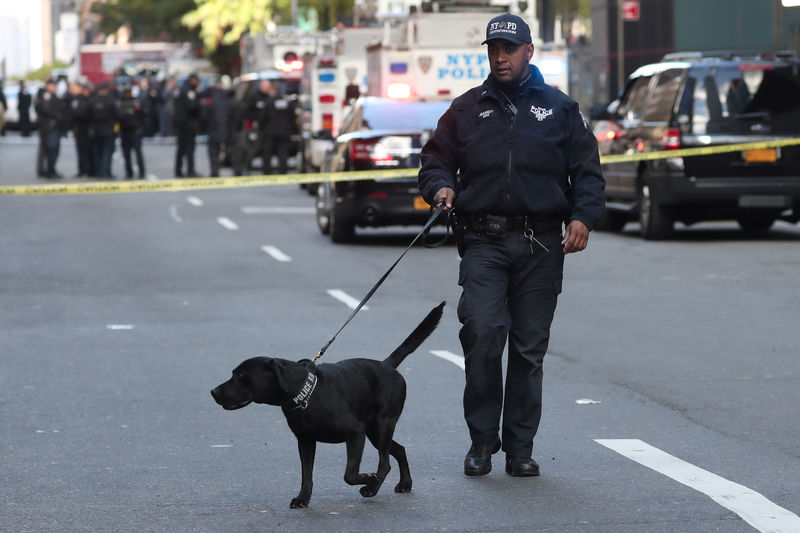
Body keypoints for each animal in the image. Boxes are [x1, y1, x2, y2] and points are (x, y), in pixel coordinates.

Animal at [211, 302, 444, 504]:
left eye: (241, 375)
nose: (213, 392)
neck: (306, 395)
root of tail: (387, 365)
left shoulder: (355, 434)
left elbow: (350, 474)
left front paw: (367, 477)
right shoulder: (305, 441)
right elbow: (306, 475)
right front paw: (302, 499)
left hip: (381, 427)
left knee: (385, 463)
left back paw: (372, 487)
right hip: (375, 433)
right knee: (399, 450)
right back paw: (405, 483)